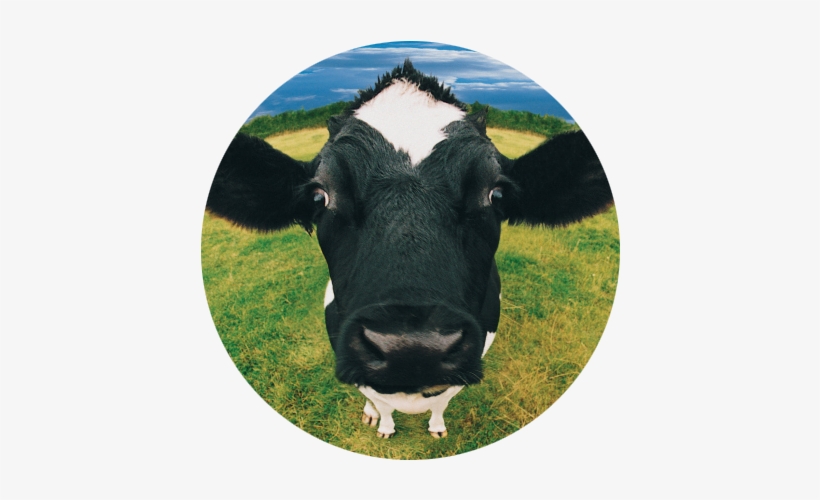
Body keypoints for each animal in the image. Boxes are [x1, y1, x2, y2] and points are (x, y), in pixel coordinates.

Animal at [206, 60, 613, 439]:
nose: (411, 348)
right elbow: (381, 401)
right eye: (320, 196)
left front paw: (436, 427)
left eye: (495, 194)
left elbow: (443, 401)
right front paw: (384, 426)